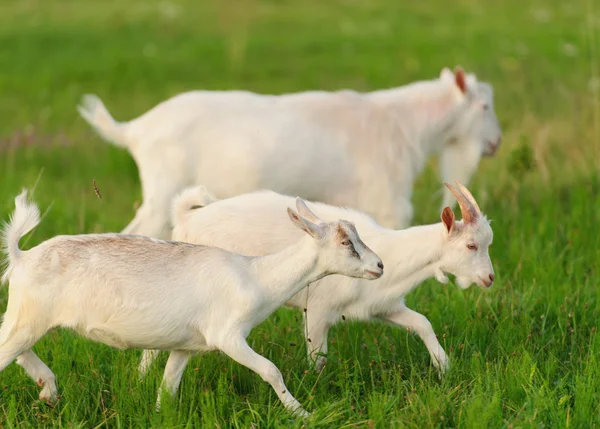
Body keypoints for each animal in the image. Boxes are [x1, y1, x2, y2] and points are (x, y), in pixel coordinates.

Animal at [0, 191, 382, 414]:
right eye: (346, 242)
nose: (378, 266)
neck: (255, 276)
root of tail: (21, 256)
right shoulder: (227, 336)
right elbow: (271, 370)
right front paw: (301, 413)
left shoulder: (186, 347)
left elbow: (167, 389)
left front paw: (158, 415)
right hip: (29, 319)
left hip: (23, 320)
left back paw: (48, 389)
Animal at [78, 67, 502, 241]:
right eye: (484, 107)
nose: (496, 143)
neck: (402, 123)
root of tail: (135, 129)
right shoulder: (388, 200)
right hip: (163, 188)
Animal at [138, 181, 494, 374]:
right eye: (471, 245)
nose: (490, 278)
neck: (395, 253)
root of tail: (186, 217)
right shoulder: (319, 310)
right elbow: (318, 358)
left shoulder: (382, 306)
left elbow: (422, 323)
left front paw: (444, 368)